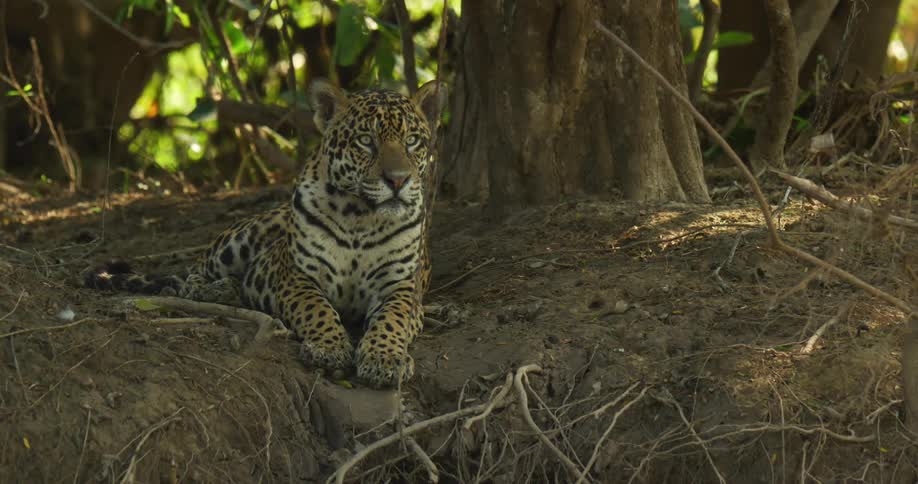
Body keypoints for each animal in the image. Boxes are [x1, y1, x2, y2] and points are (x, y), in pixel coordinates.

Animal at [87, 79, 447, 388]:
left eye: (412, 141)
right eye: (365, 141)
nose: (398, 180)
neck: (362, 218)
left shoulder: (401, 287)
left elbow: (392, 320)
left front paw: (385, 359)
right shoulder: (297, 277)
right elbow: (316, 309)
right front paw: (329, 348)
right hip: (245, 237)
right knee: (193, 274)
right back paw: (217, 290)